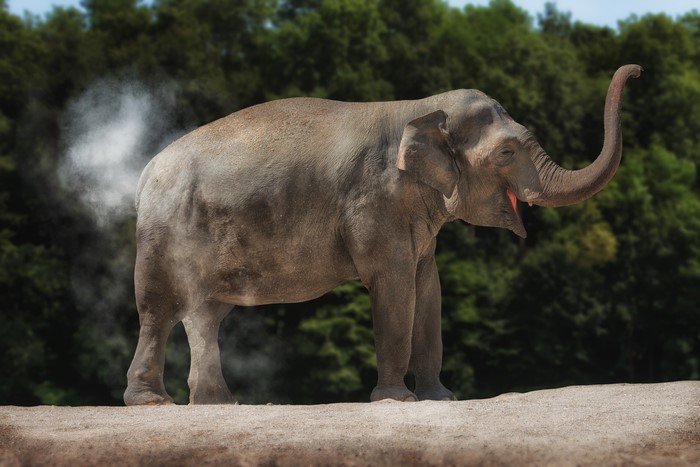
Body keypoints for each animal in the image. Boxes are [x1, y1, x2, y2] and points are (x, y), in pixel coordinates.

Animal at [123, 64, 642, 405]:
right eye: (507, 152)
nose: (636, 71)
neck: (419, 108)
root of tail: (146, 171)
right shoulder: (374, 201)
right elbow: (392, 285)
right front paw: (397, 400)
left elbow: (427, 287)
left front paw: (441, 399)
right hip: (165, 233)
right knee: (160, 309)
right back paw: (152, 402)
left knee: (205, 313)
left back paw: (217, 403)